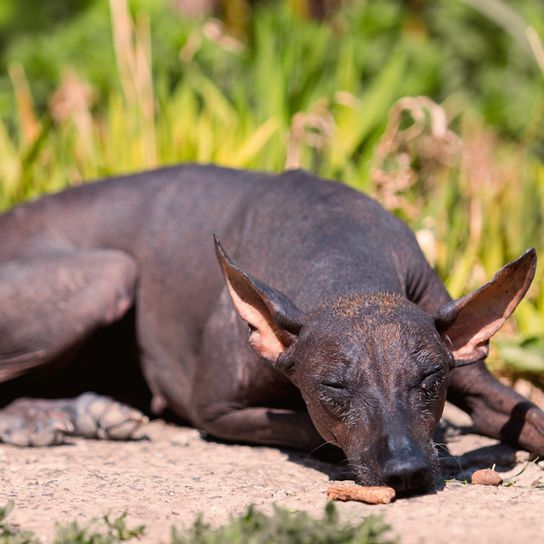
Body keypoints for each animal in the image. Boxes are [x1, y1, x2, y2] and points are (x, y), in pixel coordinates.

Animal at [1, 163, 544, 492]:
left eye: (430, 378)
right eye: (333, 386)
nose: (406, 470)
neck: (335, 249)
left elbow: (524, 414)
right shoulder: (214, 411)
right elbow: (306, 427)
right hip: (107, 275)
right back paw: (37, 422)